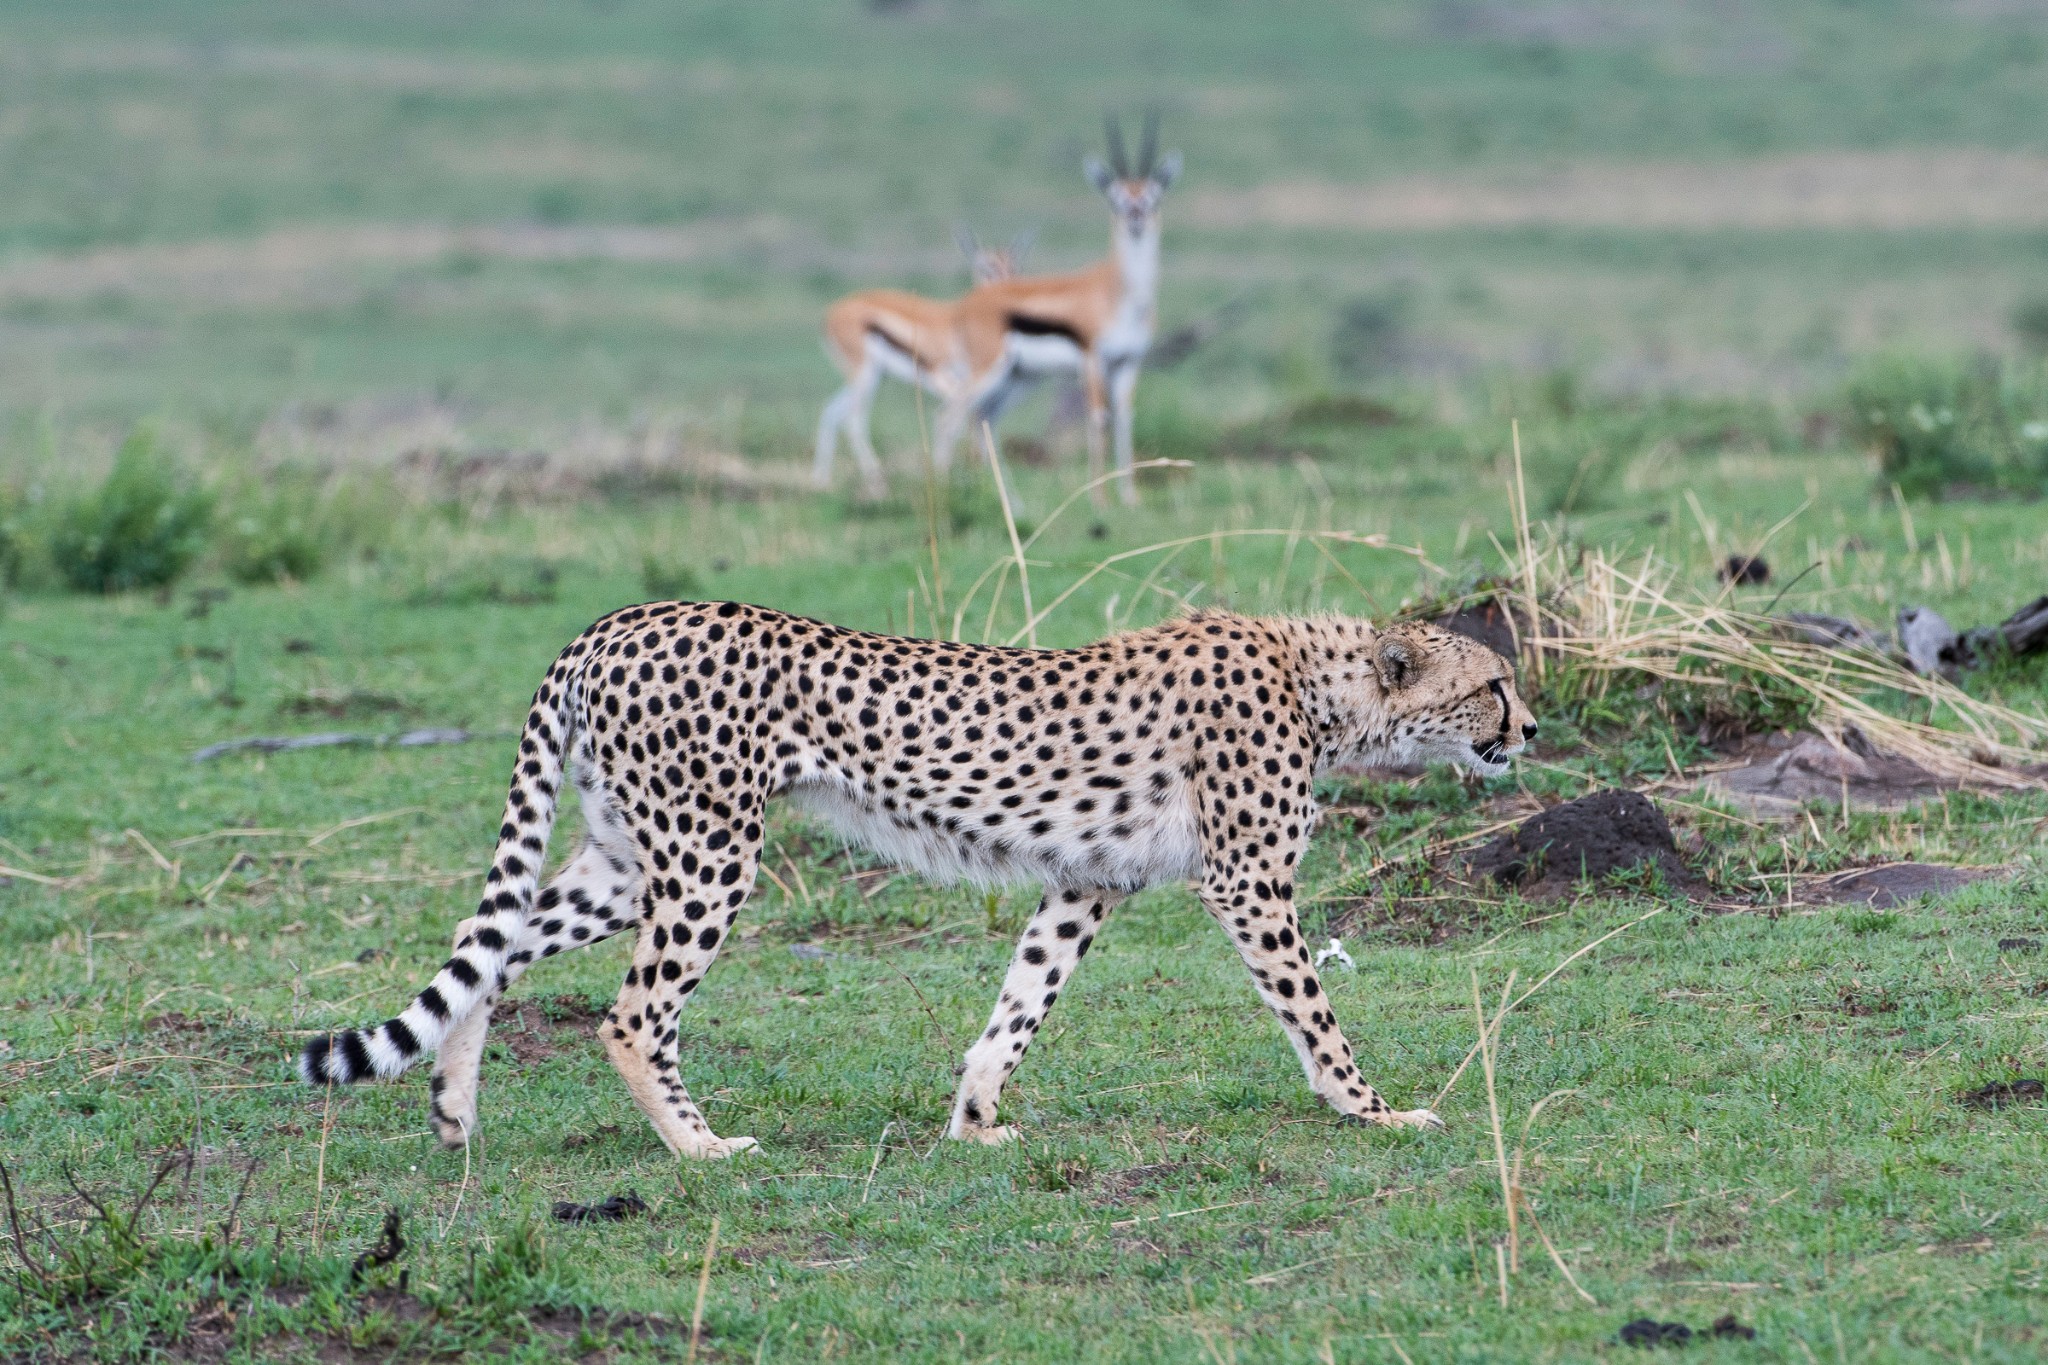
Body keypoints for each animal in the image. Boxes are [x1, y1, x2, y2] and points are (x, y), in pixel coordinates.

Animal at [296, 601, 1531, 1162]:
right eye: (1492, 685)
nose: (1527, 730)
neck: (1327, 689)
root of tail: (613, 621)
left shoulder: (1086, 881)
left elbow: (1021, 1003)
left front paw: (975, 1119)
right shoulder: (1248, 883)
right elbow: (1313, 1014)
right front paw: (1373, 1109)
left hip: (625, 857)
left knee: (492, 950)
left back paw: (455, 1110)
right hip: (709, 855)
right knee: (631, 1013)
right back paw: (699, 1148)